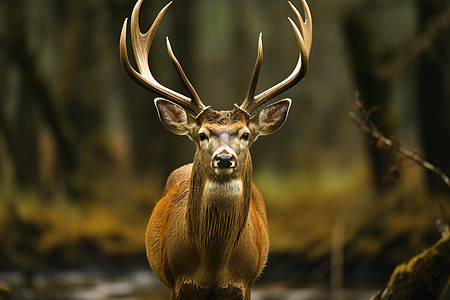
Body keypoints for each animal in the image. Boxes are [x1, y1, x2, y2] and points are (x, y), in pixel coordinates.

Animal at [118, 0, 312, 298]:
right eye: (201, 135)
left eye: (245, 134)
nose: (224, 159)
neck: (214, 265)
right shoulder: (177, 282)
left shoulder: (245, 283)